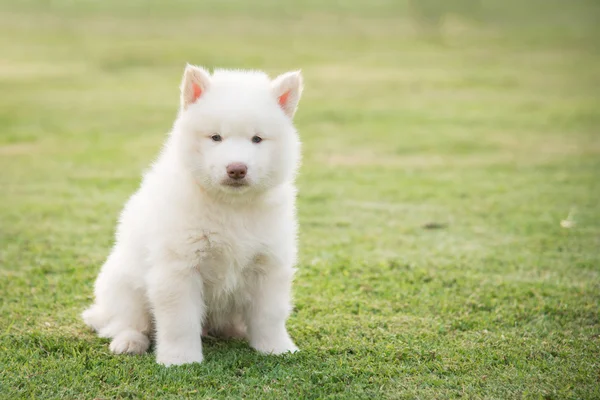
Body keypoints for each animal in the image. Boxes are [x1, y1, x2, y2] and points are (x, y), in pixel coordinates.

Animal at [82, 65, 302, 366]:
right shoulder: (178, 268)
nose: (236, 169)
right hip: (124, 285)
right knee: (126, 322)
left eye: (257, 139)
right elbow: (180, 321)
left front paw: (277, 348)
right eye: (215, 137)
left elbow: (270, 314)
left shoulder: (268, 264)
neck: (230, 206)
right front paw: (180, 359)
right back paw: (129, 342)